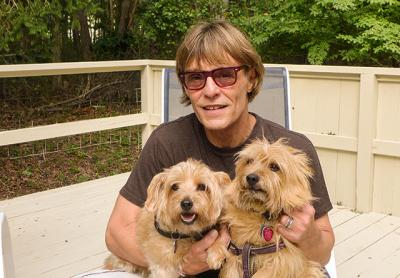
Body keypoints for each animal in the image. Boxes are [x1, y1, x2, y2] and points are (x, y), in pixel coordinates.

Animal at [220, 138, 326, 278]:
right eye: (249, 161)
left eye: (274, 167)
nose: (251, 177)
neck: (261, 213)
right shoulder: (236, 254)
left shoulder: (283, 259)